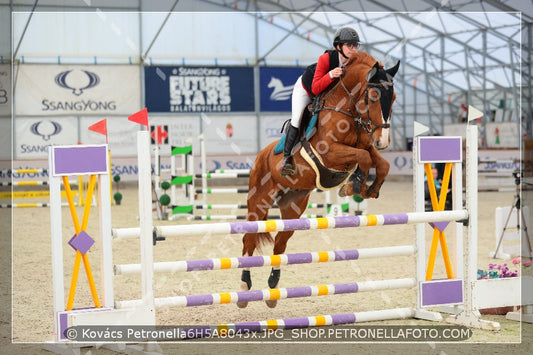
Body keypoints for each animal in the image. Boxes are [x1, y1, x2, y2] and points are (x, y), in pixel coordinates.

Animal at [238, 52, 400, 308]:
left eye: (392, 97)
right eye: (374, 97)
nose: (383, 140)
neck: (348, 111)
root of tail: (260, 156)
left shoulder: (365, 145)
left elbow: (381, 163)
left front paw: (366, 188)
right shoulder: (330, 152)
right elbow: (363, 158)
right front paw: (356, 184)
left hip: (293, 208)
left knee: (280, 243)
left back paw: (273, 288)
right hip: (258, 202)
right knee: (249, 240)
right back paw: (245, 288)